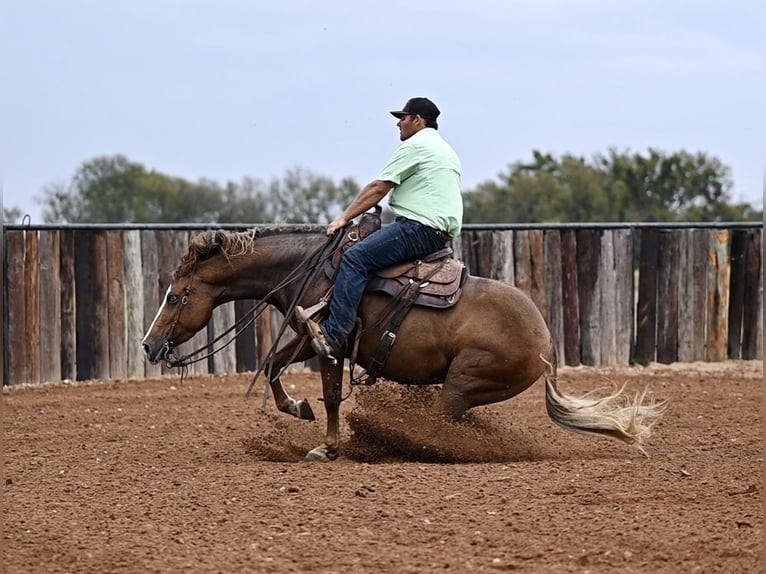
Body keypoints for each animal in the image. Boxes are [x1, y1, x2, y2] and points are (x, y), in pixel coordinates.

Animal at [142, 225, 664, 464]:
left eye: (174, 295)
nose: (149, 346)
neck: (316, 270)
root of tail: (548, 343)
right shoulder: (310, 338)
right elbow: (273, 368)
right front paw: (298, 409)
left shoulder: (331, 344)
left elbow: (332, 395)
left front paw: (328, 448)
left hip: (464, 382)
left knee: (443, 422)